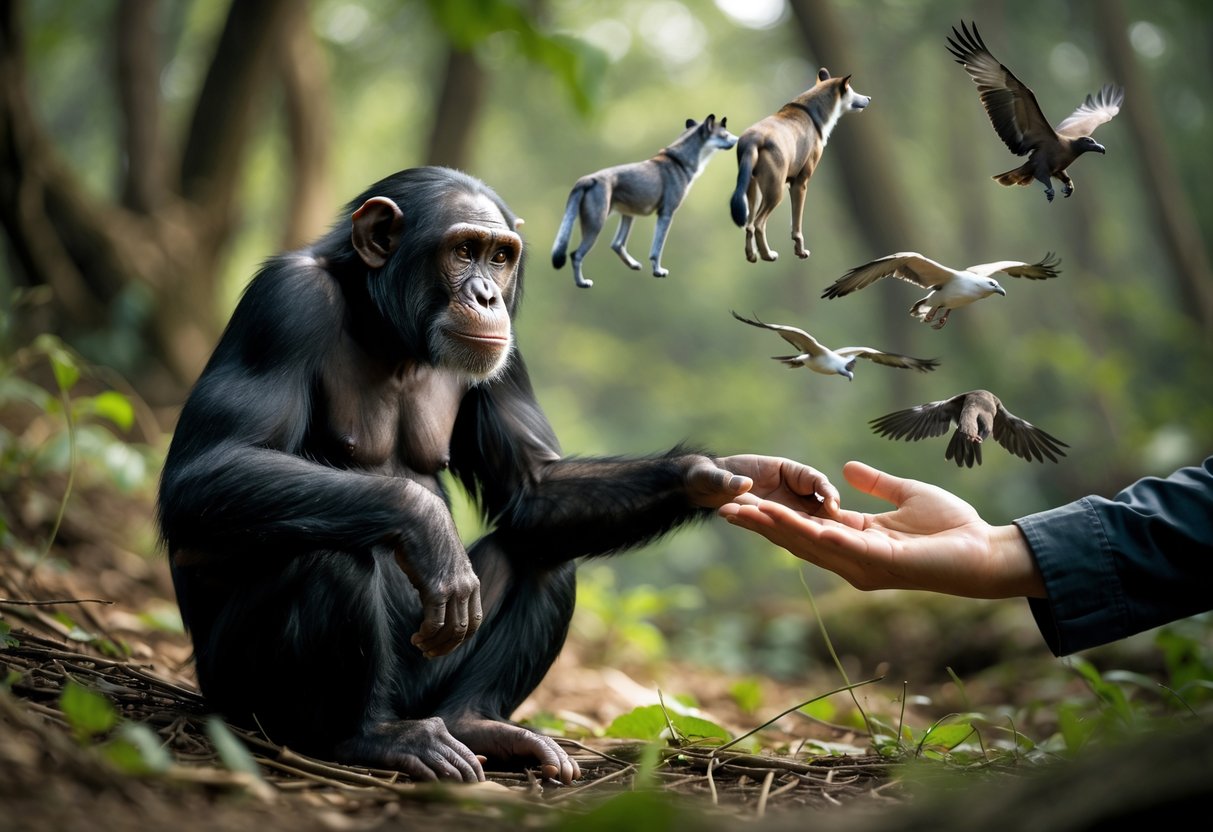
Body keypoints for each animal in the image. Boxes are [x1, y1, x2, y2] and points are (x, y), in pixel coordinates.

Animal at [551, 114, 737, 288]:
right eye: (725, 134)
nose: (737, 139)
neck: (680, 161)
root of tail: (587, 179)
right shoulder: (666, 214)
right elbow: (657, 250)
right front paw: (658, 271)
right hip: (596, 225)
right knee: (576, 254)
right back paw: (582, 283)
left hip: (627, 215)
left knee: (617, 244)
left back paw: (633, 265)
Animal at [730, 69, 869, 263]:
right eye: (851, 89)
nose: (868, 98)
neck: (813, 111)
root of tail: (753, 139)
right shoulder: (800, 183)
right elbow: (797, 225)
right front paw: (800, 251)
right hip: (775, 193)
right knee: (758, 224)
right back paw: (768, 255)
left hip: (753, 192)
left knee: (749, 225)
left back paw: (752, 256)